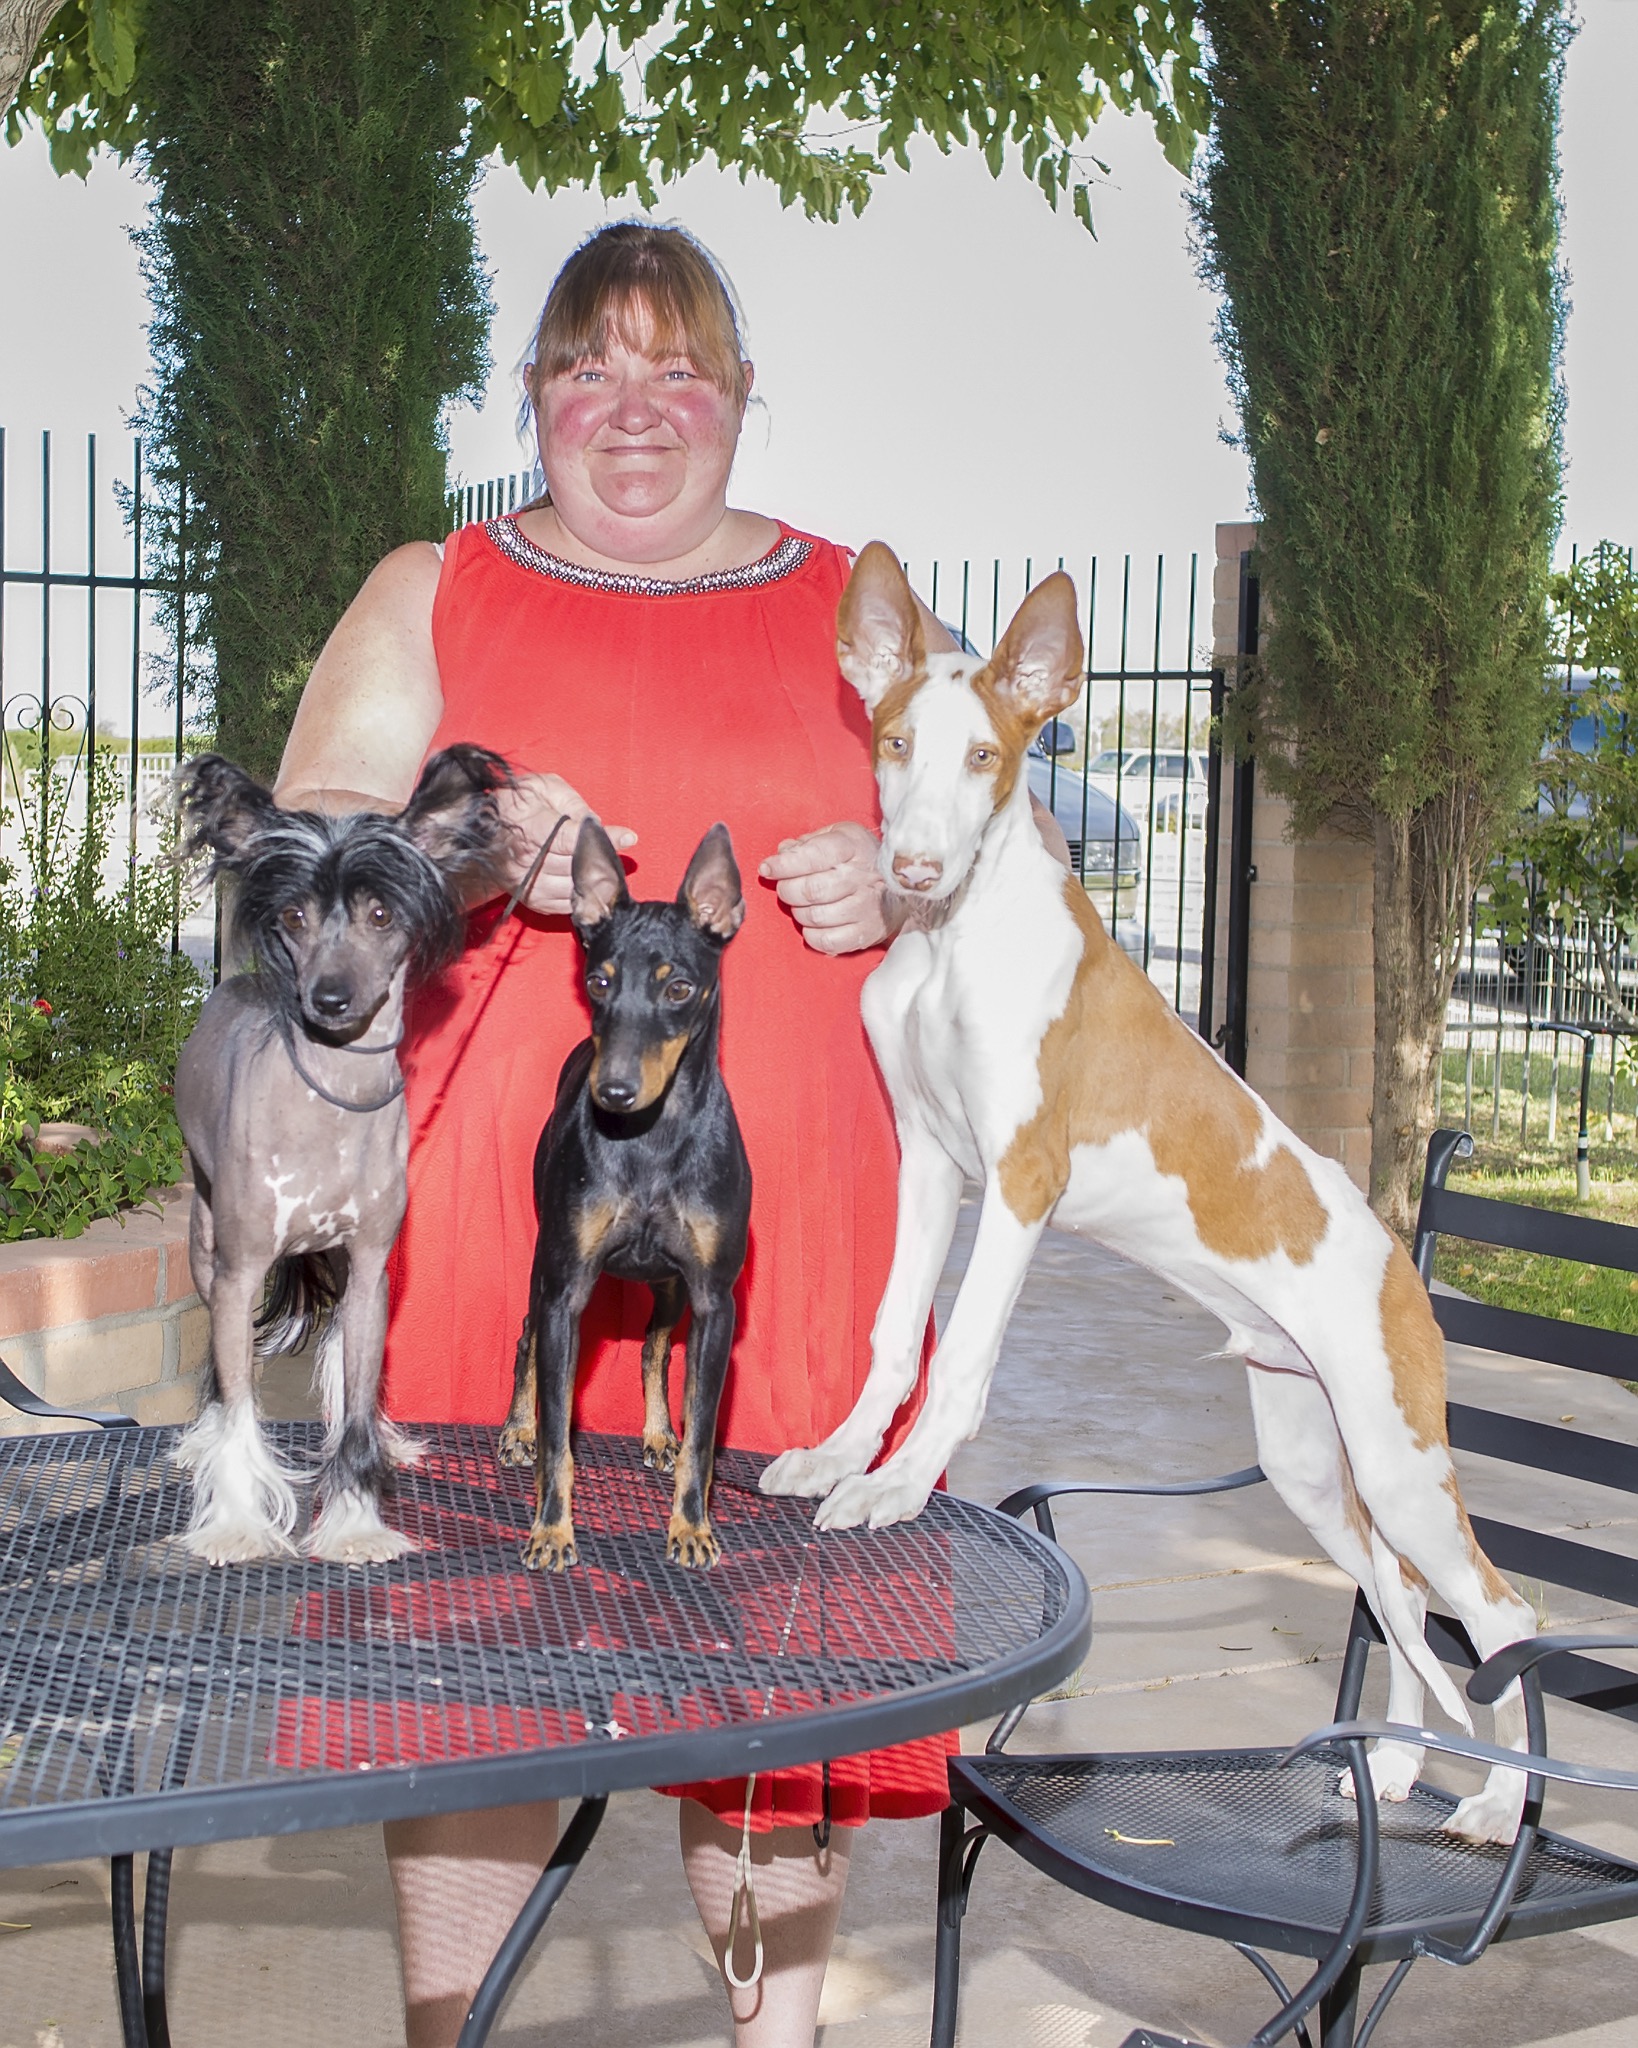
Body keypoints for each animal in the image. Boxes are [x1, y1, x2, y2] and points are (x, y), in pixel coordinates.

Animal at [171, 745, 515, 1565]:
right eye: (294, 916)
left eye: (382, 914)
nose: (328, 998)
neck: (329, 1104)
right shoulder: (237, 1277)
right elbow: (240, 1407)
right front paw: (236, 1521)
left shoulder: (369, 1272)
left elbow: (354, 1406)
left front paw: (356, 1522)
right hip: (204, 1244)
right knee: (223, 1383)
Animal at [498, 817, 751, 1573]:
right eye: (598, 980)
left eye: (680, 989)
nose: (612, 1091)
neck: (652, 1142)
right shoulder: (565, 1294)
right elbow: (560, 1435)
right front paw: (552, 1530)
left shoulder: (716, 1303)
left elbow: (705, 1433)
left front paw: (691, 1524)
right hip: (543, 1269)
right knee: (525, 1340)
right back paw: (516, 1429)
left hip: (668, 1287)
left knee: (653, 1346)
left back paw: (659, 1433)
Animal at [760, 543, 1537, 1844]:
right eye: (895, 742)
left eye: (989, 756)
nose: (910, 869)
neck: (955, 937)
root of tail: (1398, 1251)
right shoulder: (929, 1159)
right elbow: (893, 1336)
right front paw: (843, 1454)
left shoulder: (1018, 1181)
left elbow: (960, 1359)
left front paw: (901, 1484)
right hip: (1316, 1468)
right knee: (1401, 1605)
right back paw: (1394, 1769)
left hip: (1398, 1462)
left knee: (1505, 1616)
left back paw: (1494, 1801)